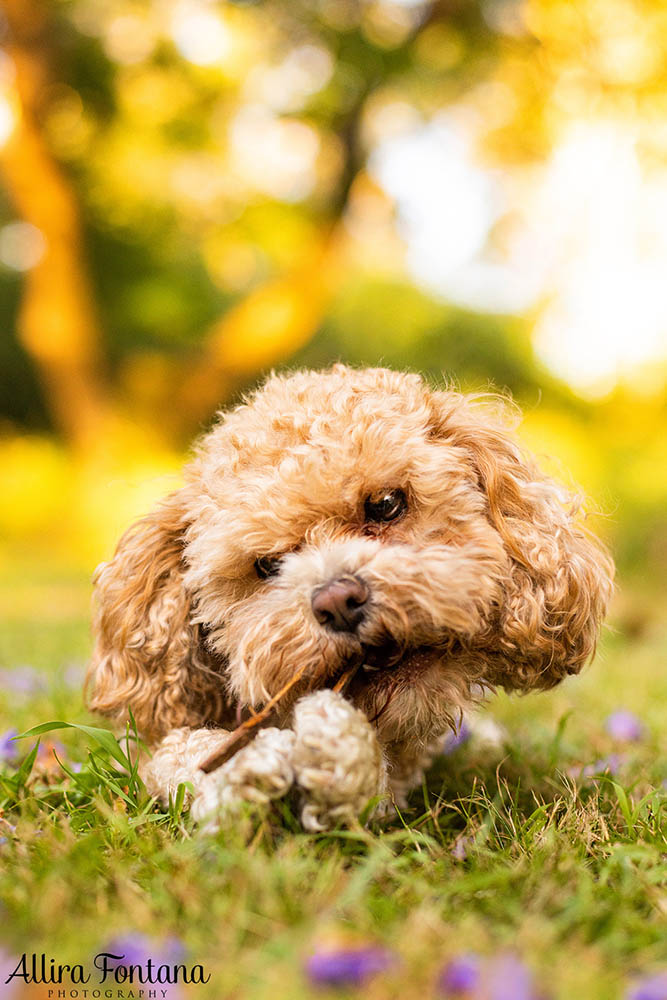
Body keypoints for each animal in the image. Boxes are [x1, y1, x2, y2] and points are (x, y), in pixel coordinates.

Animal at [85, 366, 616, 828]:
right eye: (267, 566)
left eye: (385, 504)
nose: (338, 601)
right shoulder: (159, 750)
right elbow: (181, 756)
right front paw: (244, 774)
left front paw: (339, 756)